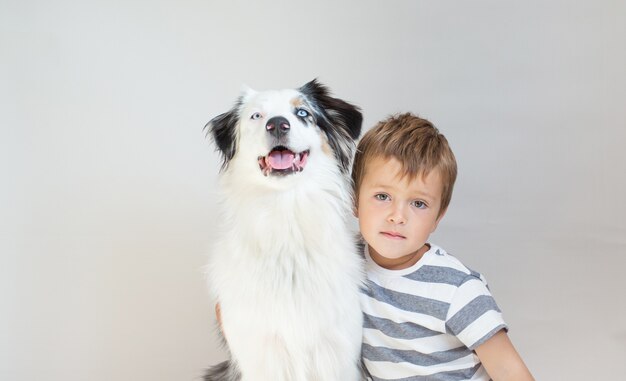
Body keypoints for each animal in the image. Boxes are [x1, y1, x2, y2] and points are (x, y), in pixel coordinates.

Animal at [202, 78, 364, 378]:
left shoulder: (337, 352)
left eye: (302, 113)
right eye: (256, 116)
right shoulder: (259, 354)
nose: (277, 124)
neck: (286, 215)